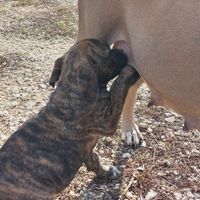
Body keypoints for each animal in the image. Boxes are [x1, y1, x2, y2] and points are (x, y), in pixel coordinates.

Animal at [0, 38, 141, 199]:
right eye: (108, 50)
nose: (122, 51)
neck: (71, 90)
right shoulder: (108, 121)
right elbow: (118, 87)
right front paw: (131, 70)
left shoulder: (86, 150)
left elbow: (95, 160)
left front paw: (105, 172)